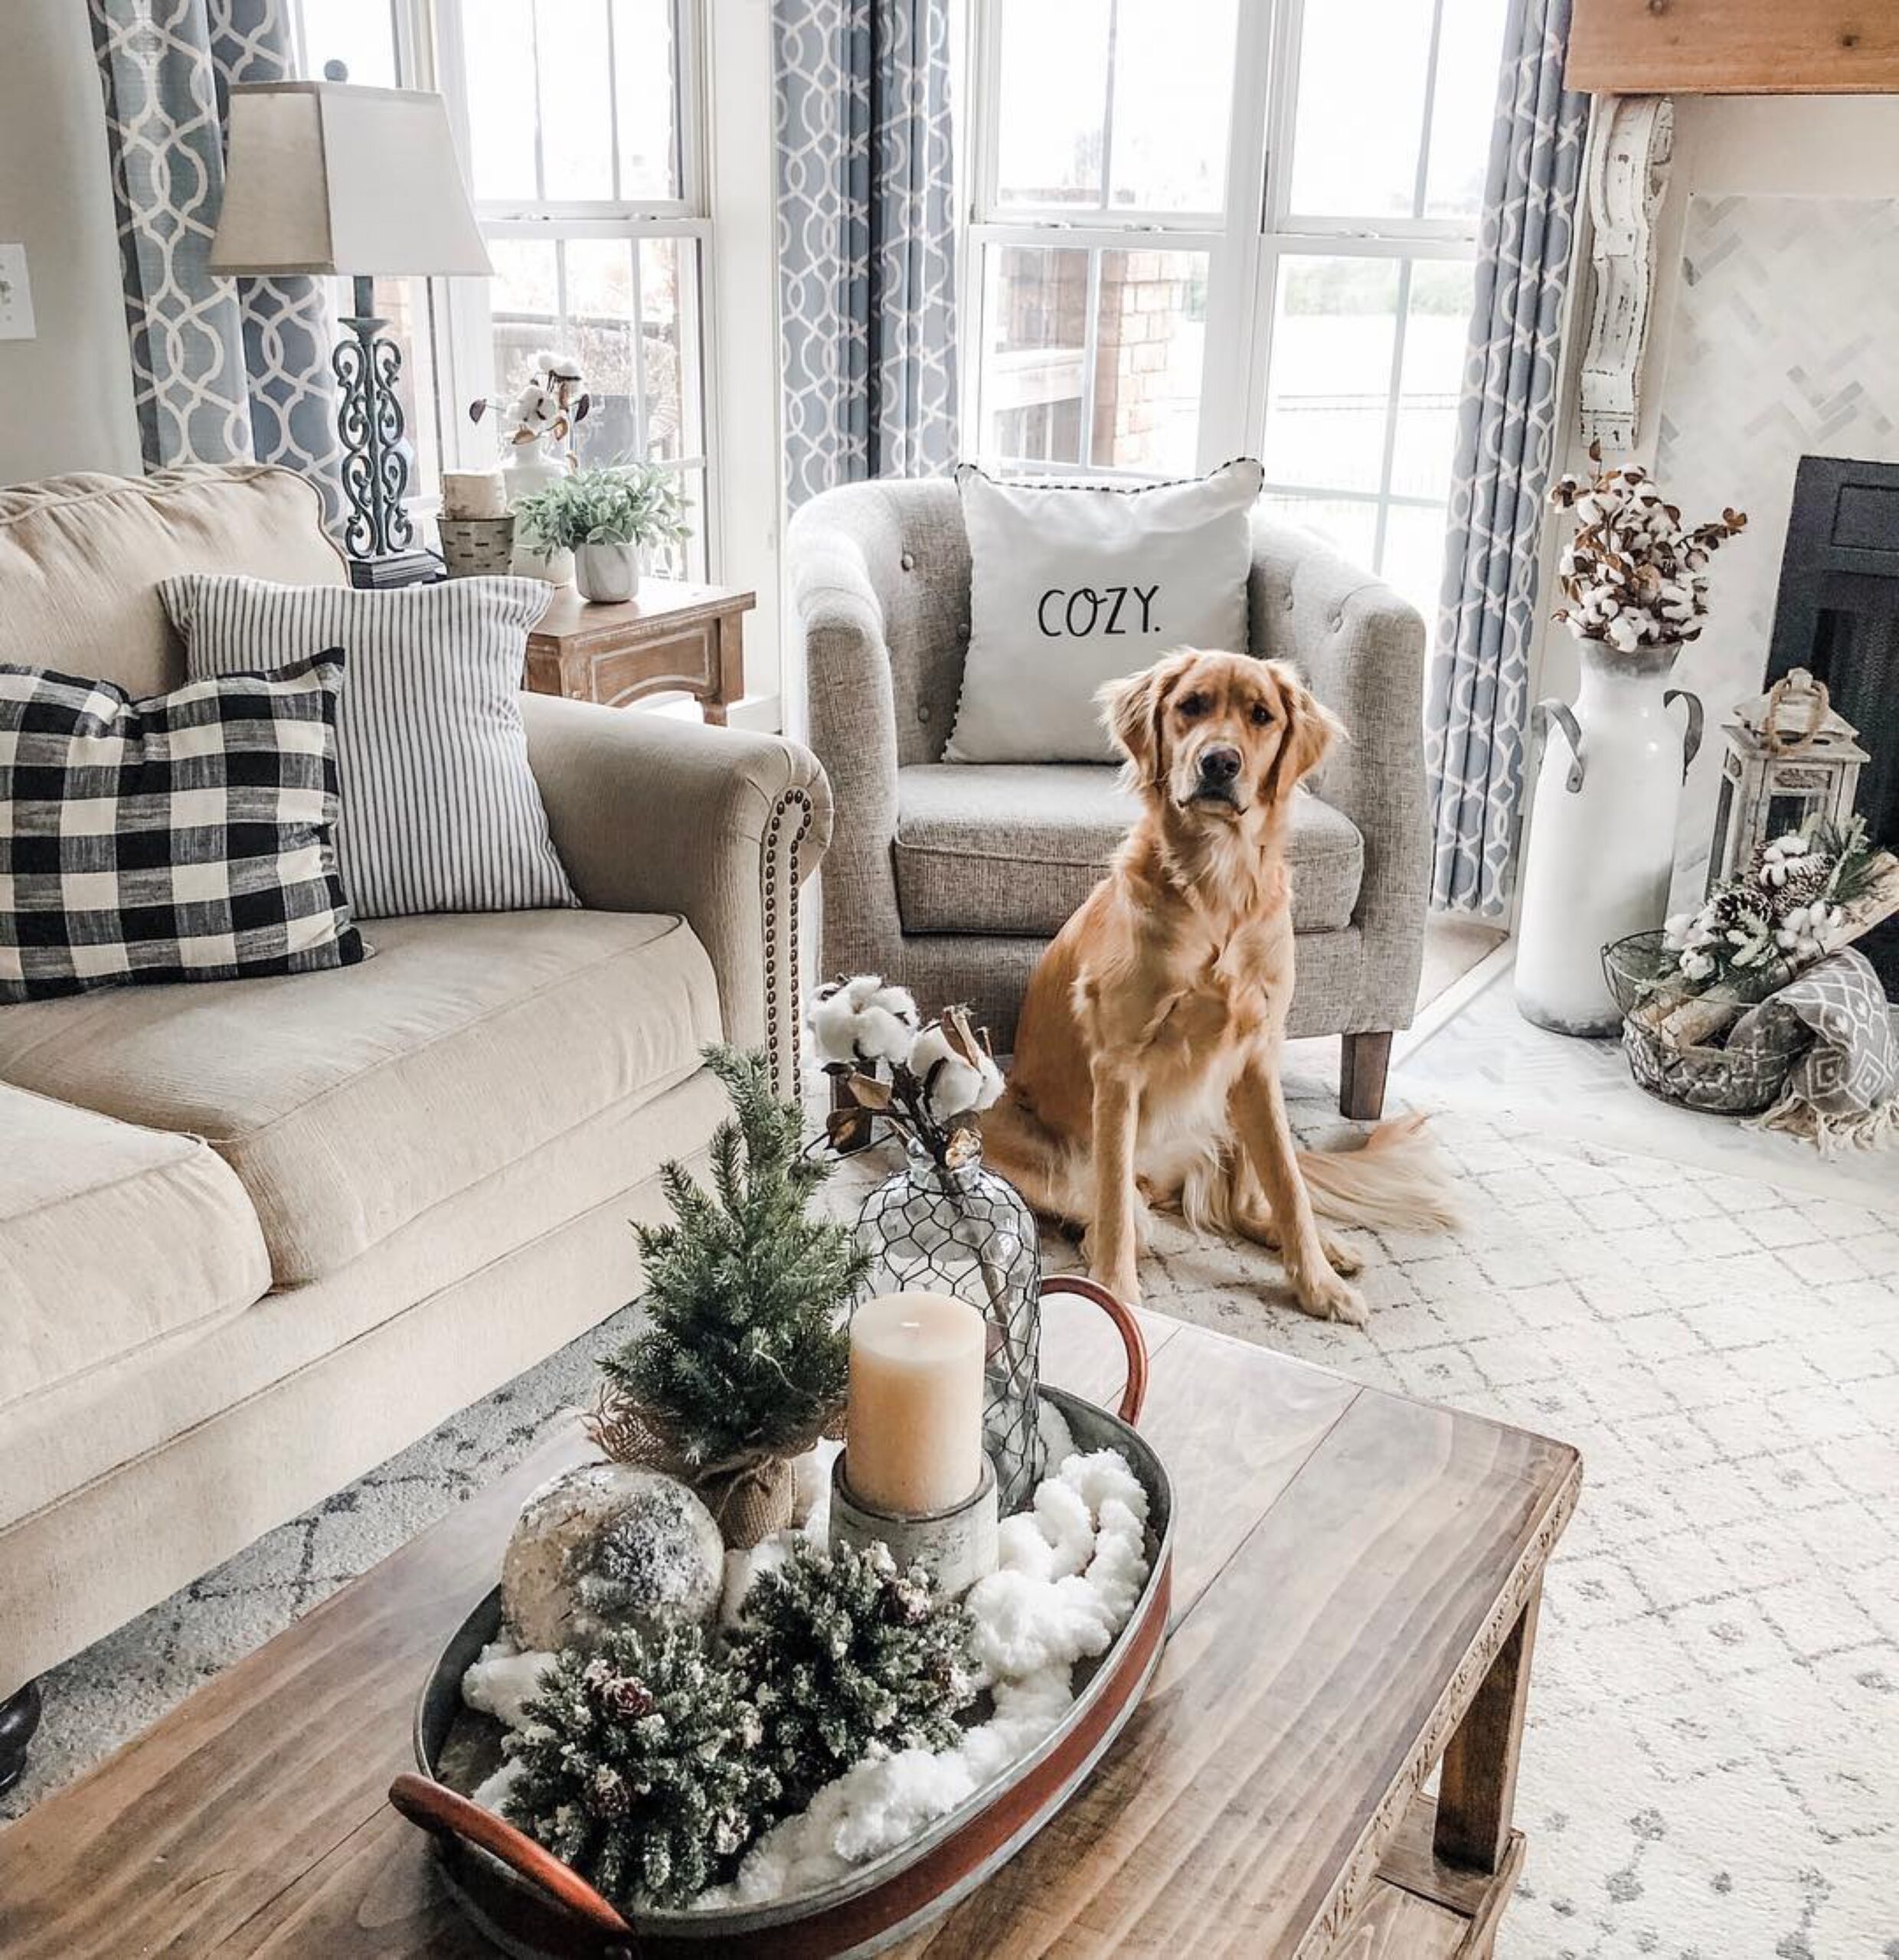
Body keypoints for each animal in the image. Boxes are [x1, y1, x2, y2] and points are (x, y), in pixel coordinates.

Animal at [979, 650, 1450, 1325]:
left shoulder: (1256, 1055)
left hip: (1234, 1107)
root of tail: (1166, 1180)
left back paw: (1326, 1248)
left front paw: (1317, 1285)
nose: (1220, 762)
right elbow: (1114, 1201)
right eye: (1191, 706)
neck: (1217, 886)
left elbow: (1289, 1183)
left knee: (1249, 1204)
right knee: (1122, 1208)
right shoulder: (1117, 1066)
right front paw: (1117, 1294)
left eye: (1261, 715)